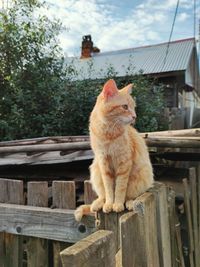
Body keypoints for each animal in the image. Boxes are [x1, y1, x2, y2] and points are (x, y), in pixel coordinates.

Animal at [75, 79, 153, 222]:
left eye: (134, 107)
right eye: (125, 107)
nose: (134, 116)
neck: (108, 133)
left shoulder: (124, 163)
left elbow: (120, 188)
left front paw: (117, 204)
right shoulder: (103, 162)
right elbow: (109, 189)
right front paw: (109, 204)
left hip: (140, 177)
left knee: (131, 195)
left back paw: (129, 203)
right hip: (95, 171)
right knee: (102, 195)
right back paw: (98, 204)